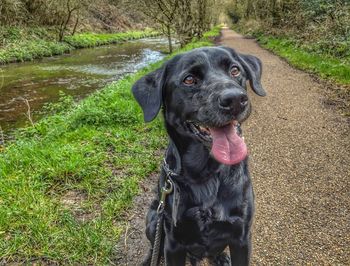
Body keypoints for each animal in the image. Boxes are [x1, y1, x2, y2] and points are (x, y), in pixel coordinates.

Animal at [131, 46, 266, 264]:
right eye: (189, 79)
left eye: (235, 70)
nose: (235, 100)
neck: (206, 175)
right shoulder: (173, 242)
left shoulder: (242, 237)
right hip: (153, 220)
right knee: (154, 246)